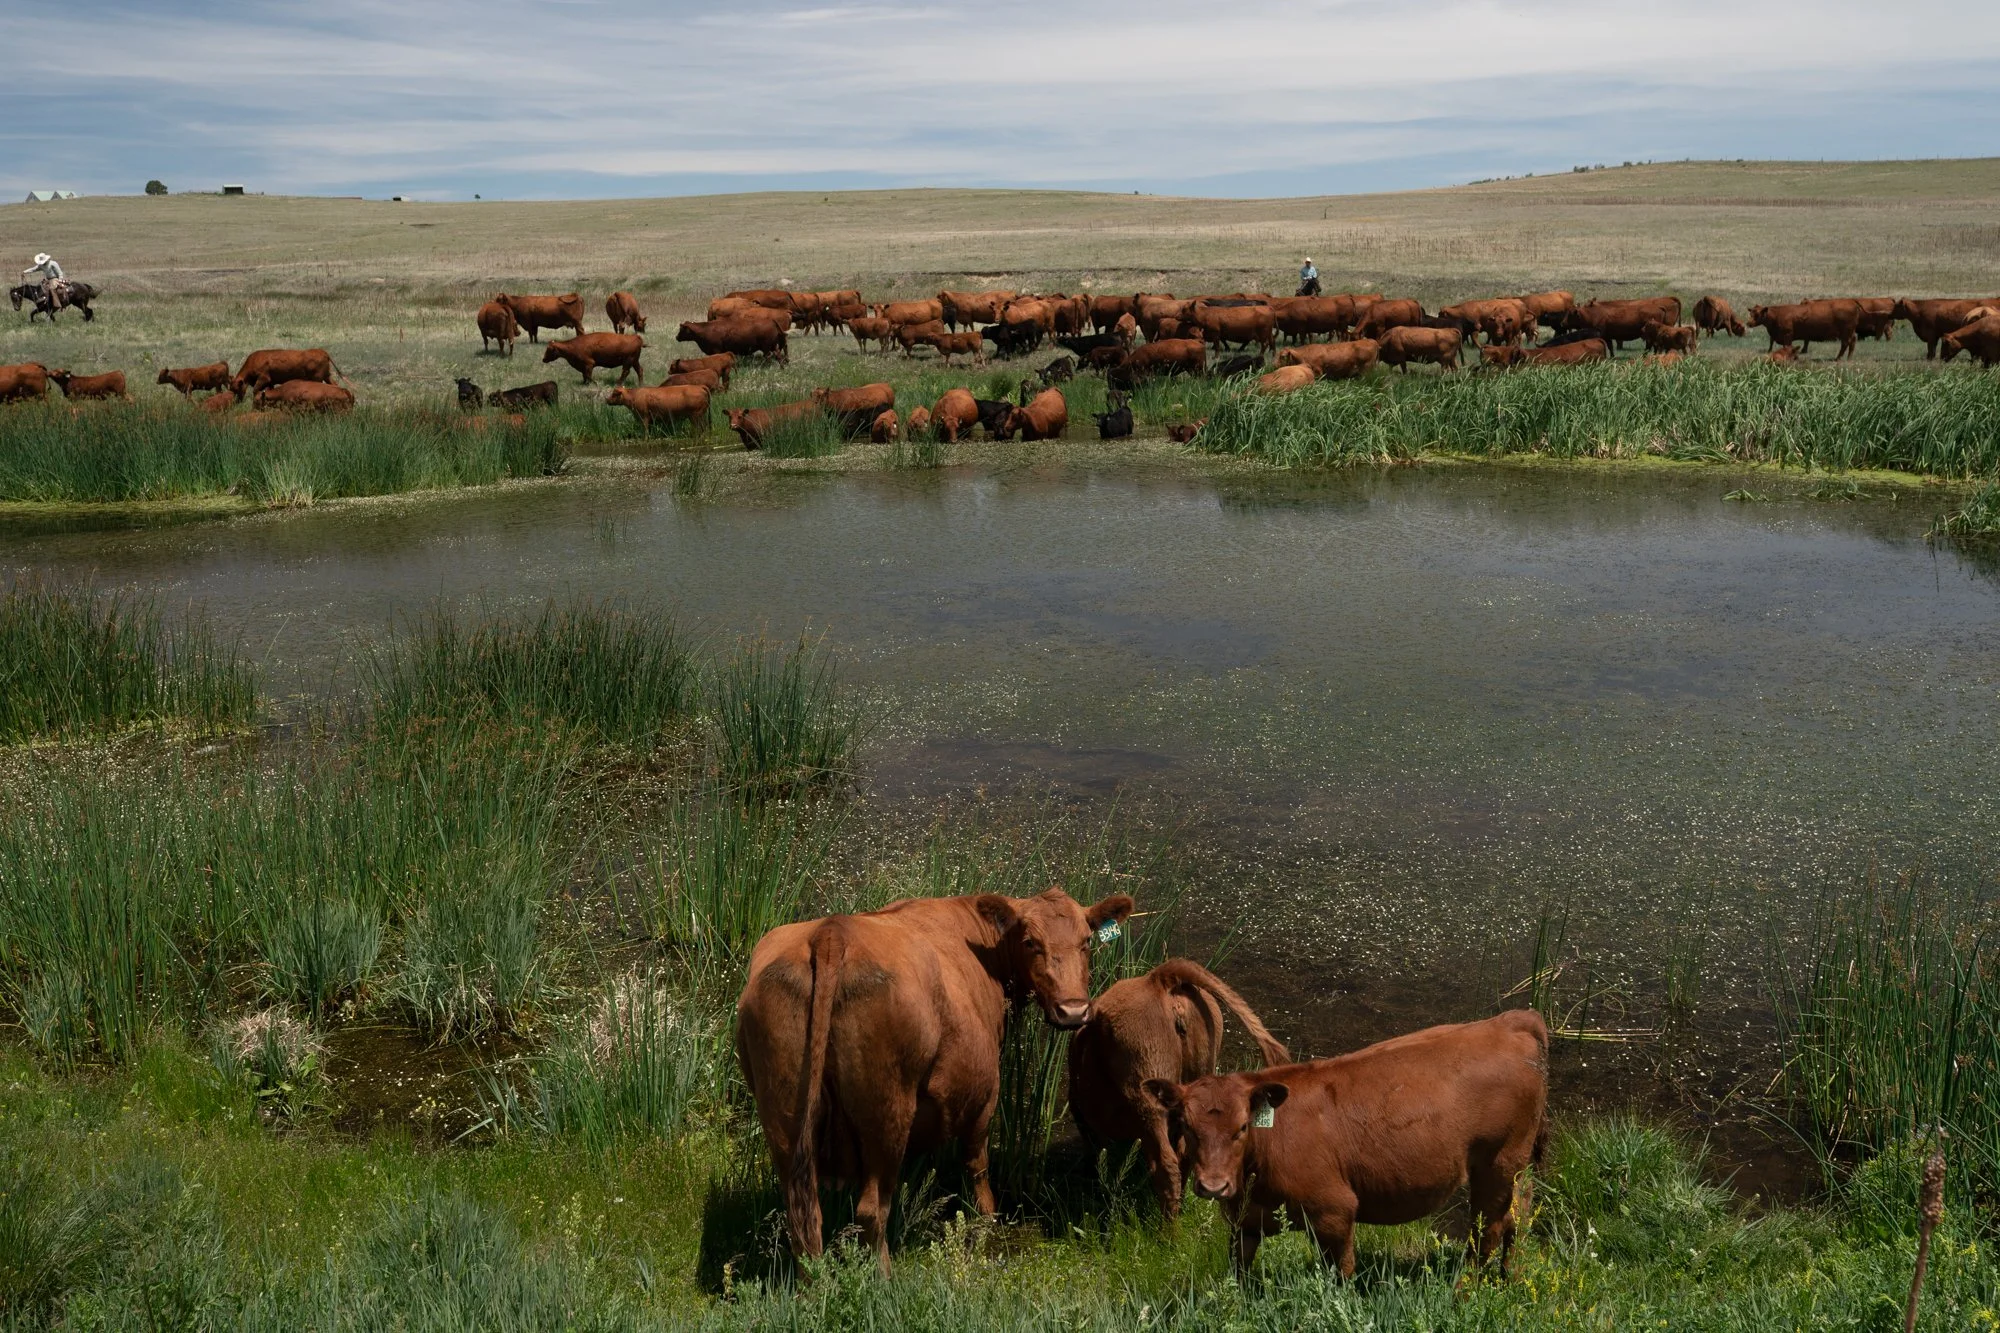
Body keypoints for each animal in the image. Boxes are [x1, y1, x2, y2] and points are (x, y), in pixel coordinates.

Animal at [736, 887, 1134, 1271]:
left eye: (1086, 941)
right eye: (1030, 942)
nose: (1073, 1011)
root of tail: (831, 932)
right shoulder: (985, 1094)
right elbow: (976, 1163)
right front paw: (986, 1221)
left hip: (783, 1112)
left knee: (803, 1214)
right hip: (888, 1110)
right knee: (871, 1210)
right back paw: (884, 1280)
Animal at [1144, 1010, 1548, 1279]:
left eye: (1243, 1127)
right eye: (1186, 1125)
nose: (1213, 1186)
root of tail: (1511, 1021)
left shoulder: (1335, 1211)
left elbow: (1340, 1274)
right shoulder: (1243, 1222)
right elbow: (1239, 1274)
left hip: (1498, 1164)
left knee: (1488, 1232)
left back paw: (1465, 1291)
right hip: (1513, 1170)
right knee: (1518, 1216)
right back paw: (1508, 1279)